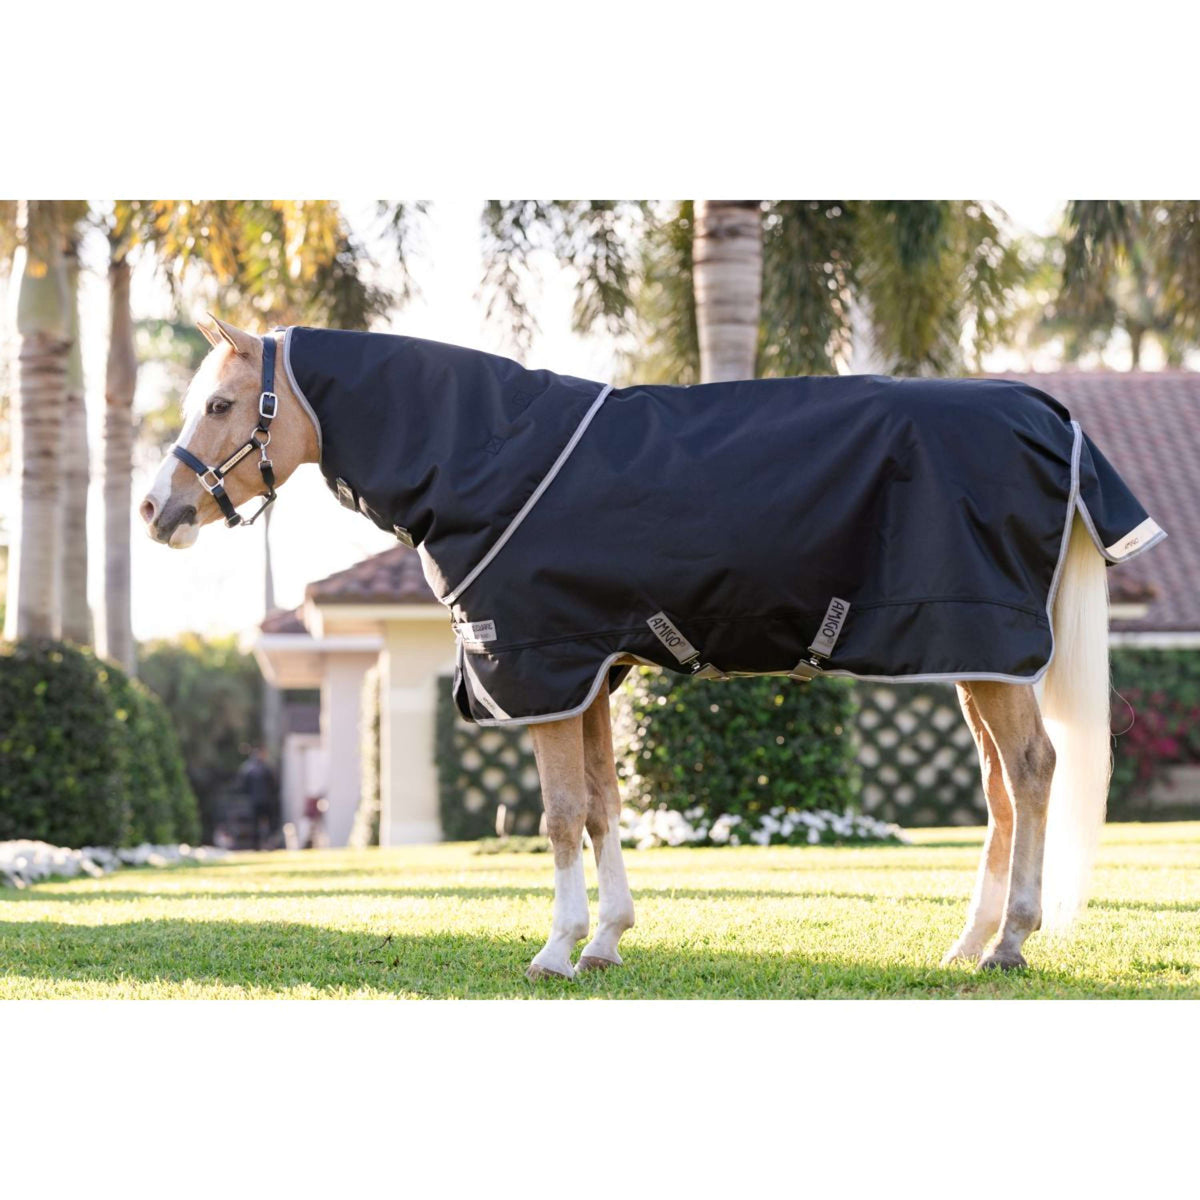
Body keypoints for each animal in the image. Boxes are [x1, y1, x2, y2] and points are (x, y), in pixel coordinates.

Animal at [142, 314, 1123, 978]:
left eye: (223, 404)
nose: (157, 509)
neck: (484, 457)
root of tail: (1049, 415)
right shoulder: (591, 672)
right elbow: (605, 806)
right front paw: (608, 940)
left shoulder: (541, 666)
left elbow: (558, 814)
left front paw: (556, 948)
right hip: (974, 658)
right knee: (1000, 787)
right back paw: (969, 940)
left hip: (989, 649)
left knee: (1033, 770)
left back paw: (1011, 941)